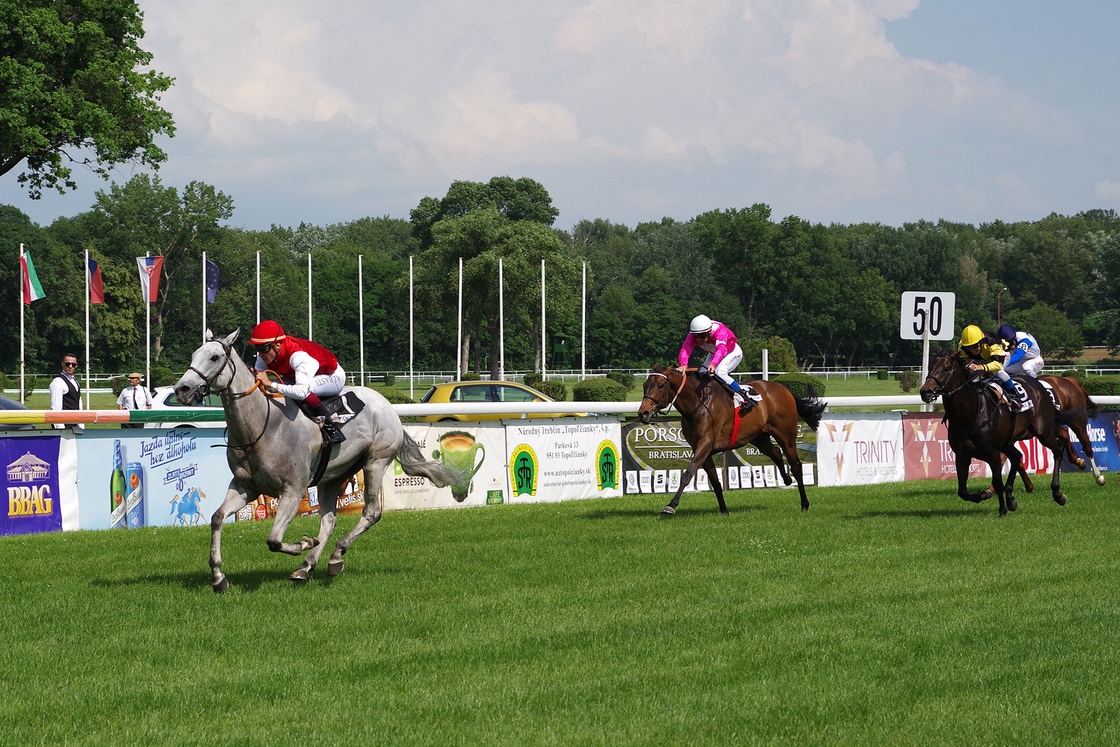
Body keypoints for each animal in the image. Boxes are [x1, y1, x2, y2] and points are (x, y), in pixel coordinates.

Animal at [175, 329, 461, 593]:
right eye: (194, 355)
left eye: (214, 357)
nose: (182, 389)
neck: (262, 426)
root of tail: (387, 406)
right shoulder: (245, 487)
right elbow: (217, 518)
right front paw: (218, 577)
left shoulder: (293, 489)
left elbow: (274, 540)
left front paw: (303, 543)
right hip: (332, 475)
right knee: (329, 521)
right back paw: (307, 566)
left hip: (375, 462)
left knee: (370, 513)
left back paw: (335, 555)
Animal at [636, 365, 826, 515]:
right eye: (645, 385)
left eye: (661, 386)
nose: (643, 413)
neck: (697, 404)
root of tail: (783, 387)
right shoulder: (701, 448)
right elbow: (714, 481)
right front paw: (724, 510)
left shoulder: (705, 443)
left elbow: (688, 473)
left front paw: (671, 505)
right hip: (759, 437)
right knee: (776, 453)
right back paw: (786, 480)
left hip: (785, 435)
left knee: (796, 465)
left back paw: (804, 504)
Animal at [919, 350, 1077, 516]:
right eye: (929, 367)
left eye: (946, 368)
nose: (925, 392)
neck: (970, 415)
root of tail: (1039, 385)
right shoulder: (962, 456)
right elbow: (963, 492)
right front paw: (986, 495)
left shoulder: (992, 453)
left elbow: (997, 482)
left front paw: (1002, 509)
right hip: (1008, 442)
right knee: (1017, 456)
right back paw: (1011, 497)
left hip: (1043, 432)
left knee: (1057, 449)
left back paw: (1057, 493)